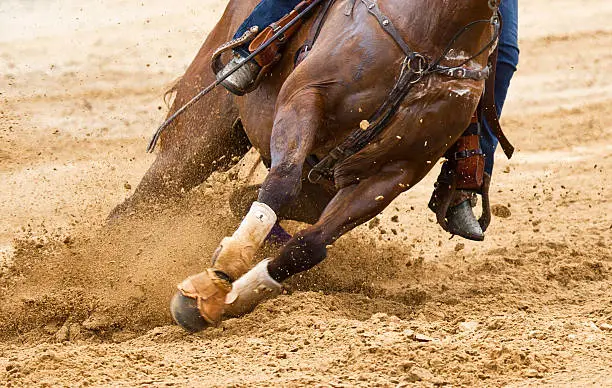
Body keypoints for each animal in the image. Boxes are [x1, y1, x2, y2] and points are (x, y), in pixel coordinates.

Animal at [110, 0, 502, 334]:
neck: (432, 31)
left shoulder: (395, 172)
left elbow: (309, 245)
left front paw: (221, 298)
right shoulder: (305, 96)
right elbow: (282, 184)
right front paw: (219, 275)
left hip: (315, 189)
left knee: (242, 200)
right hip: (197, 143)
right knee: (137, 206)